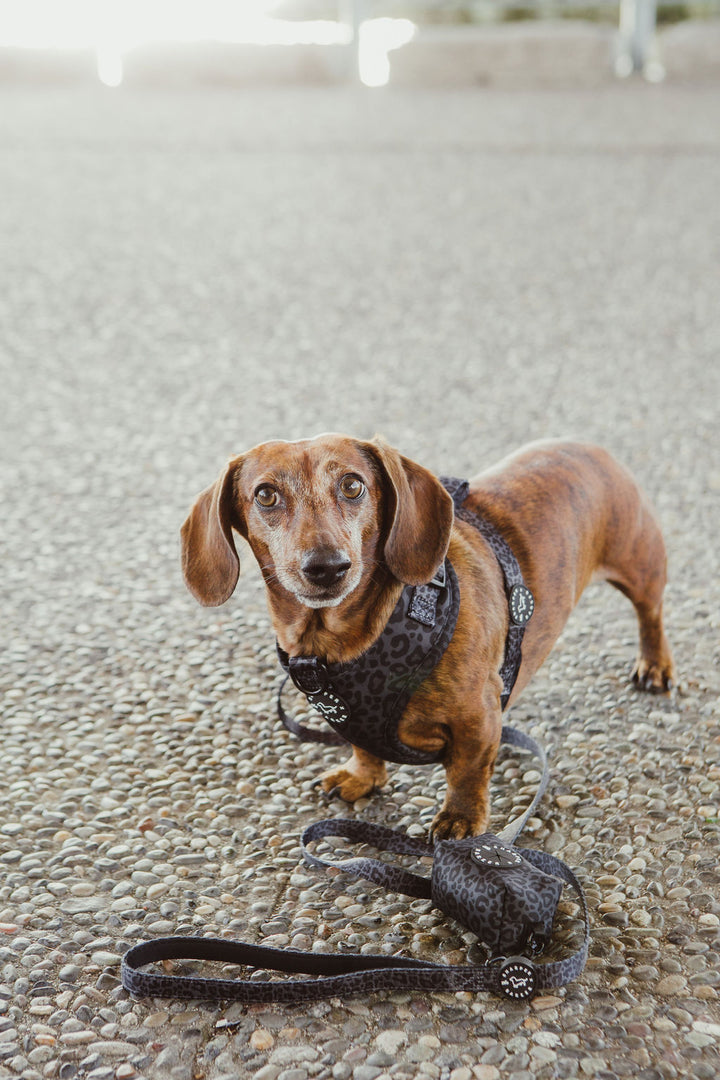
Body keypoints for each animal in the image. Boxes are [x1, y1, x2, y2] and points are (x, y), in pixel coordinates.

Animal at [181, 434, 677, 838]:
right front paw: (361, 776)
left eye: (353, 485)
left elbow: (467, 774)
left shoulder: (477, 720)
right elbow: (365, 747)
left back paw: (655, 664)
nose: (327, 567)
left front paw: (460, 819)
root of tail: (592, 447)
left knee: (651, 613)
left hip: (641, 565)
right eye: (265, 495)